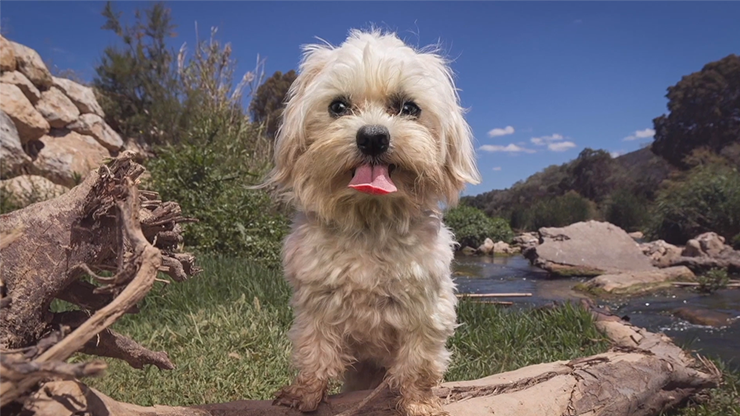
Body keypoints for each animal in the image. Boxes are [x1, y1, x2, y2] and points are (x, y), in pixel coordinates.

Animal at [264, 30, 480, 416]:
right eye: (338, 106)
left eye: (409, 107)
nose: (373, 137)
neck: (371, 218)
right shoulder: (315, 305)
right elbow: (315, 351)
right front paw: (304, 394)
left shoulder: (428, 309)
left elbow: (418, 364)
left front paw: (419, 402)